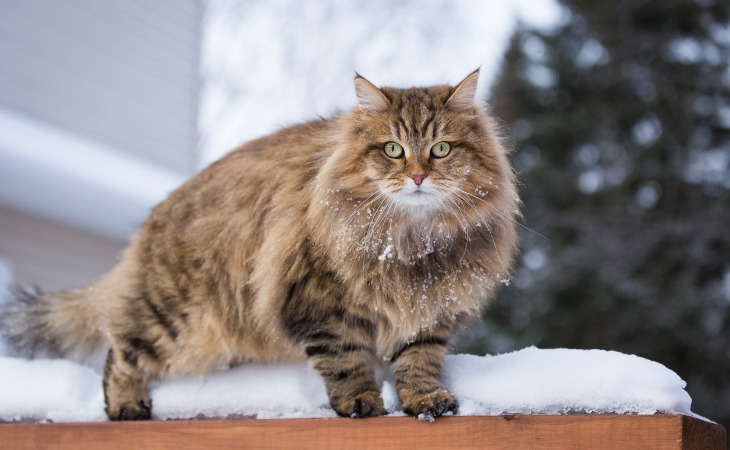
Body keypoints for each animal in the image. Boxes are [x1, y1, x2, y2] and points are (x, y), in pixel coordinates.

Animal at [0, 68, 516, 420]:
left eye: (441, 149)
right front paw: (361, 401)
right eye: (393, 149)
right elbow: (345, 361)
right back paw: (127, 405)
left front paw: (425, 400)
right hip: (176, 319)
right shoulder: (319, 304)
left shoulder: (429, 310)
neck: (409, 240)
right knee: (119, 349)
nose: (417, 176)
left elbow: (418, 361)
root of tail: (155, 218)